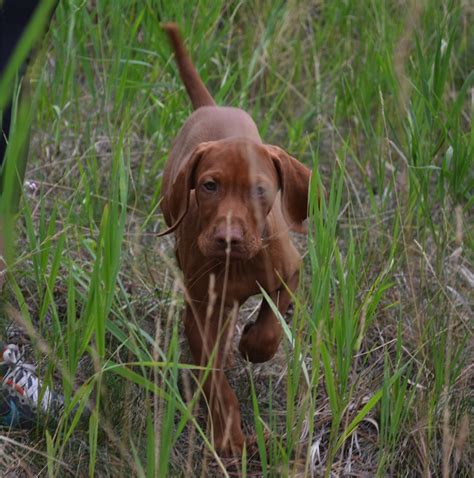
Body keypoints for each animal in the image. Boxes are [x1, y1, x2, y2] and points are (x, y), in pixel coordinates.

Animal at [159, 23, 312, 456]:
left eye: (260, 190)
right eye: (210, 186)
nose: (228, 238)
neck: (239, 263)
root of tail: (211, 107)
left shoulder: (290, 273)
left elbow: (272, 323)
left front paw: (254, 345)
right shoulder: (201, 313)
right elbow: (214, 379)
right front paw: (228, 433)